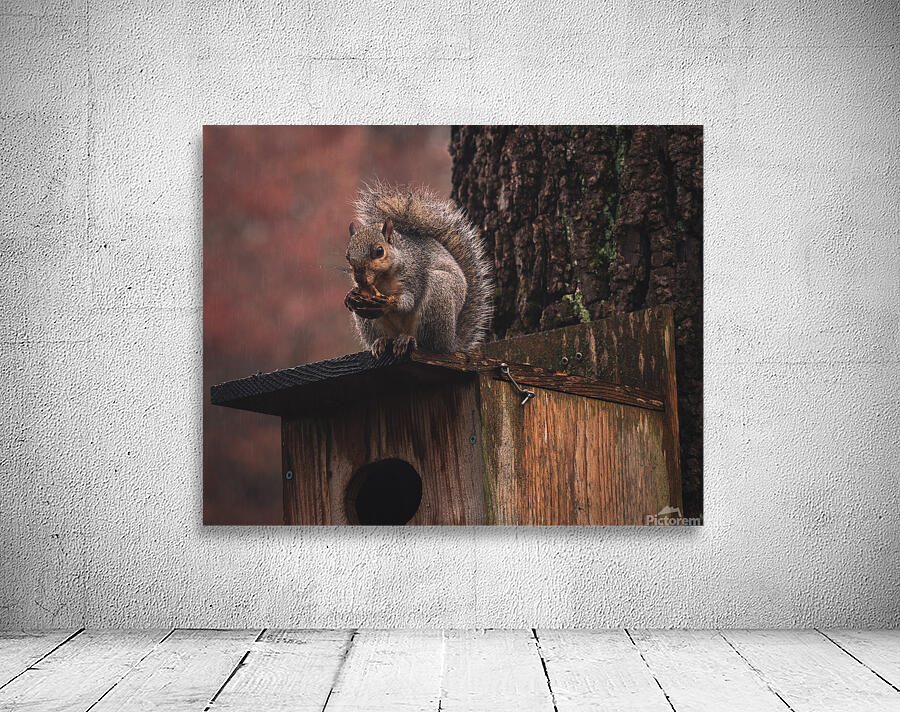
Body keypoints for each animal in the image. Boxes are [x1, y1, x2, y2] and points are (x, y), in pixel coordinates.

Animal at [343, 183, 493, 358]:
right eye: (347, 256)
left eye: (379, 251)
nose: (359, 278)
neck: (382, 279)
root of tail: (451, 342)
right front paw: (350, 295)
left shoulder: (414, 274)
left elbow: (409, 301)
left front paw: (390, 303)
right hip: (370, 325)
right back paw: (382, 341)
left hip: (438, 297)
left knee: (428, 342)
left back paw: (407, 340)